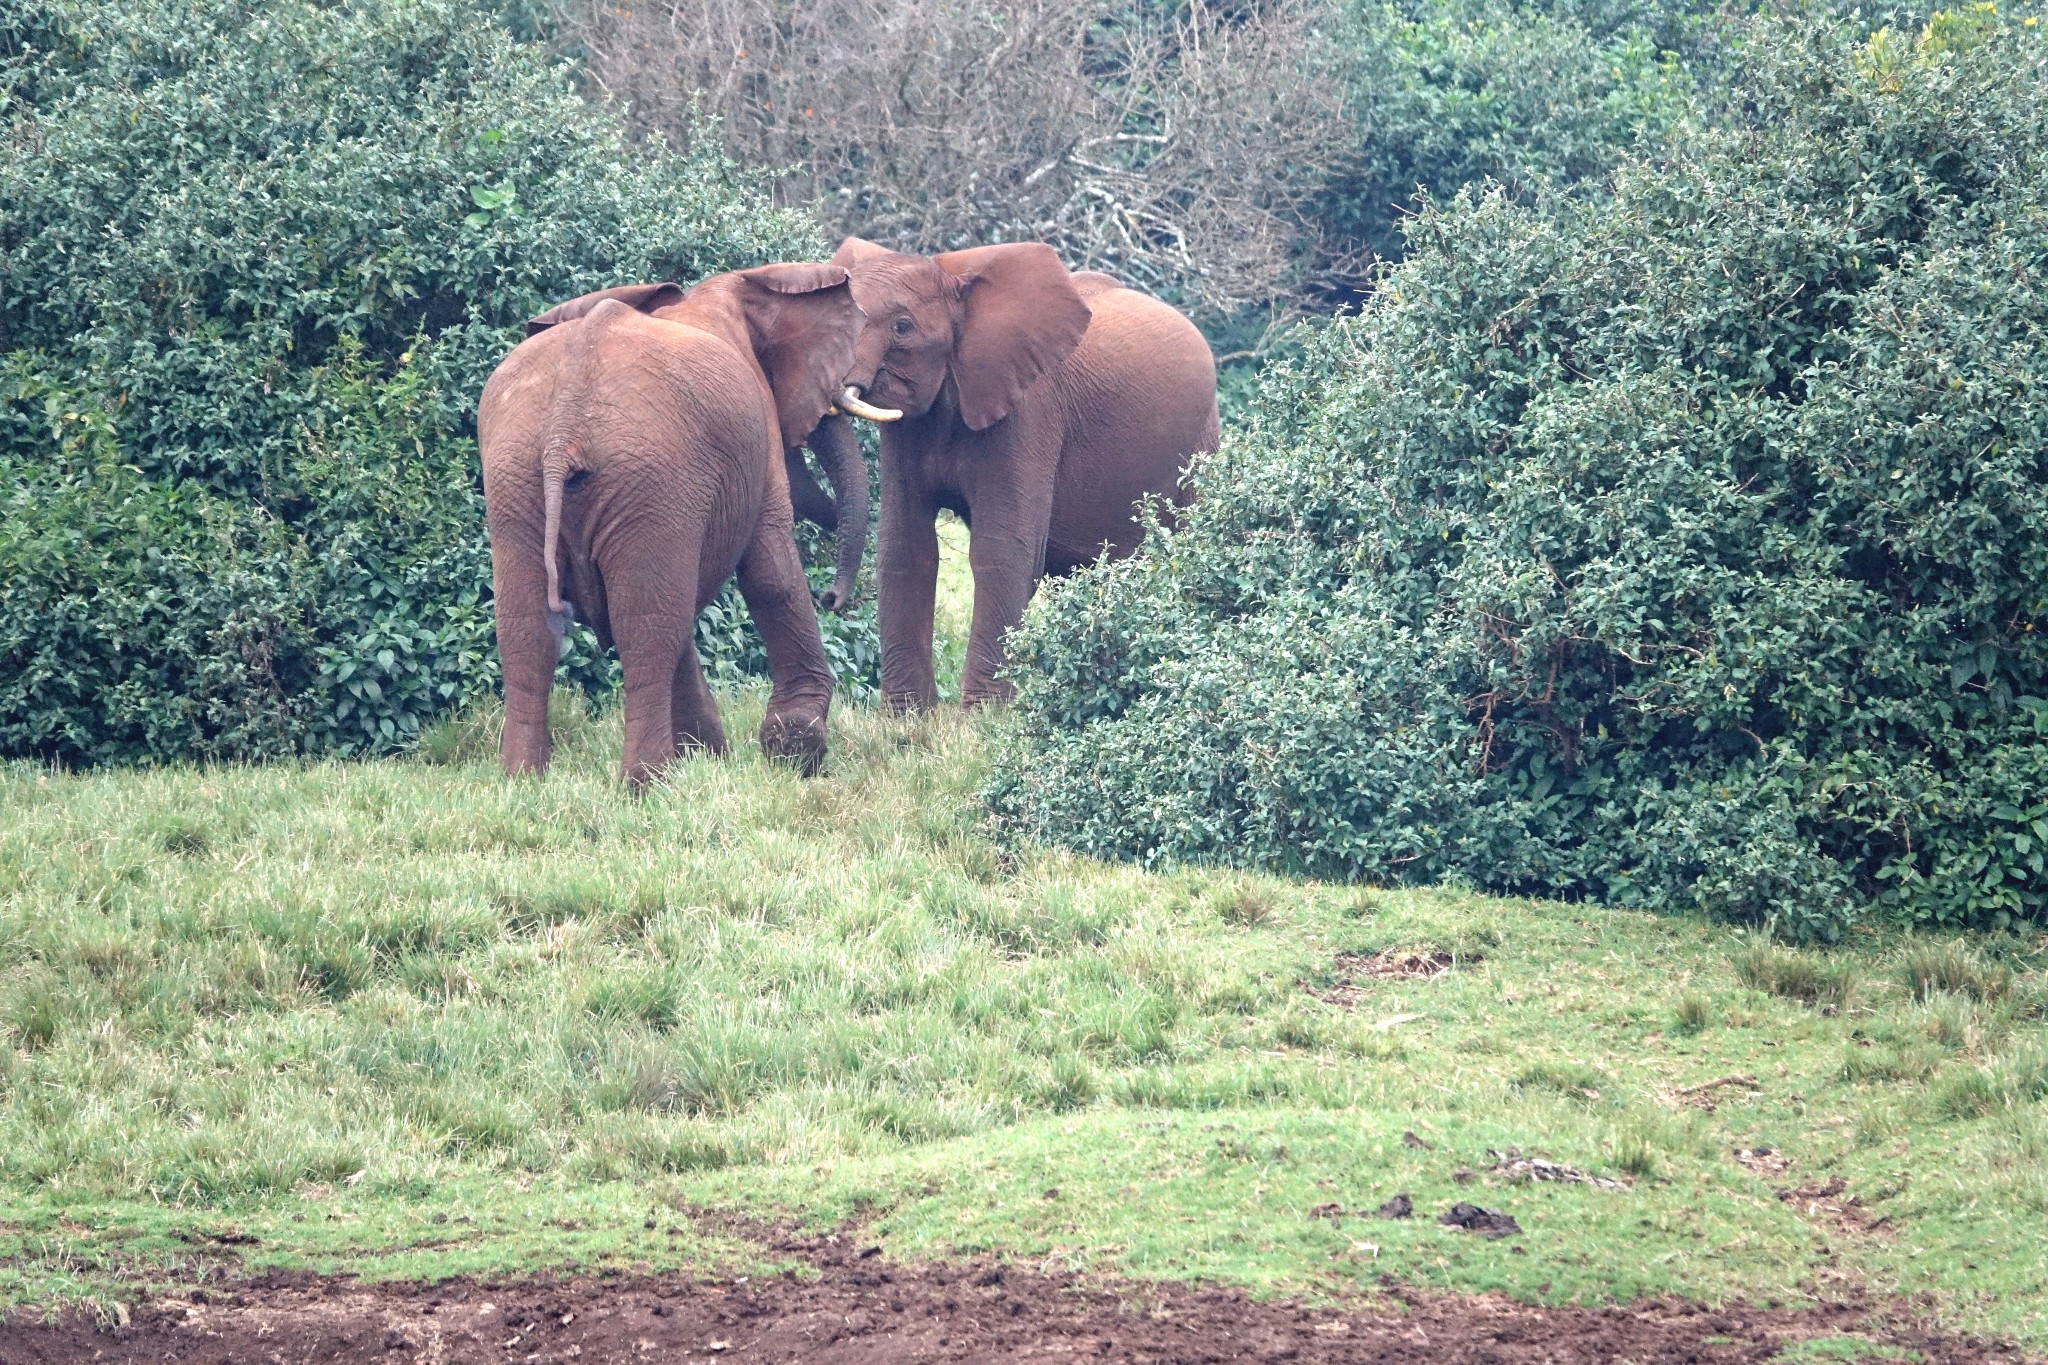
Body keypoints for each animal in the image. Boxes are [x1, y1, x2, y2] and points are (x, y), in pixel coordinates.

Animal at [479, 263, 872, 789]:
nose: (832, 599)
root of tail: (567, 420)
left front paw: (712, 756)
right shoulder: (757, 432)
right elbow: (769, 567)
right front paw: (795, 750)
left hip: (516, 473)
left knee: (529, 628)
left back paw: (523, 782)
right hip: (650, 471)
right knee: (644, 630)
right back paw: (645, 786)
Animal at [827, 236, 1212, 712]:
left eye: (902, 328)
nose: (829, 600)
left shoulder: (1030, 409)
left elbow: (1001, 549)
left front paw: (983, 715)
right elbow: (904, 547)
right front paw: (907, 717)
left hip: (1201, 444)